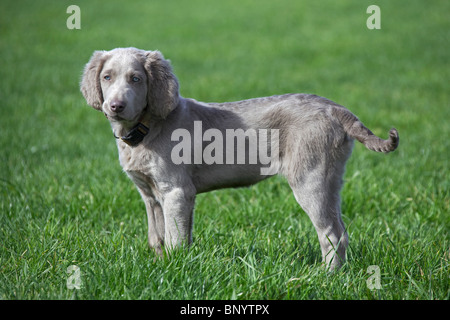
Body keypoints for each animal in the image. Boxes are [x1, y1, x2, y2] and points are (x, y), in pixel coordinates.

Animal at [80, 46, 398, 268]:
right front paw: (161, 267)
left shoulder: (176, 191)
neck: (145, 131)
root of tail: (336, 109)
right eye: (107, 77)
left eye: (136, 79)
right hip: (331, 179)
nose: (115, 106)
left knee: (331, 233)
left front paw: (174, 268)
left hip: (311, 177)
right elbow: (157, 236)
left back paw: (325, 277)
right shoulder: (150, 195)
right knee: (341, 230)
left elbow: (174, 237)